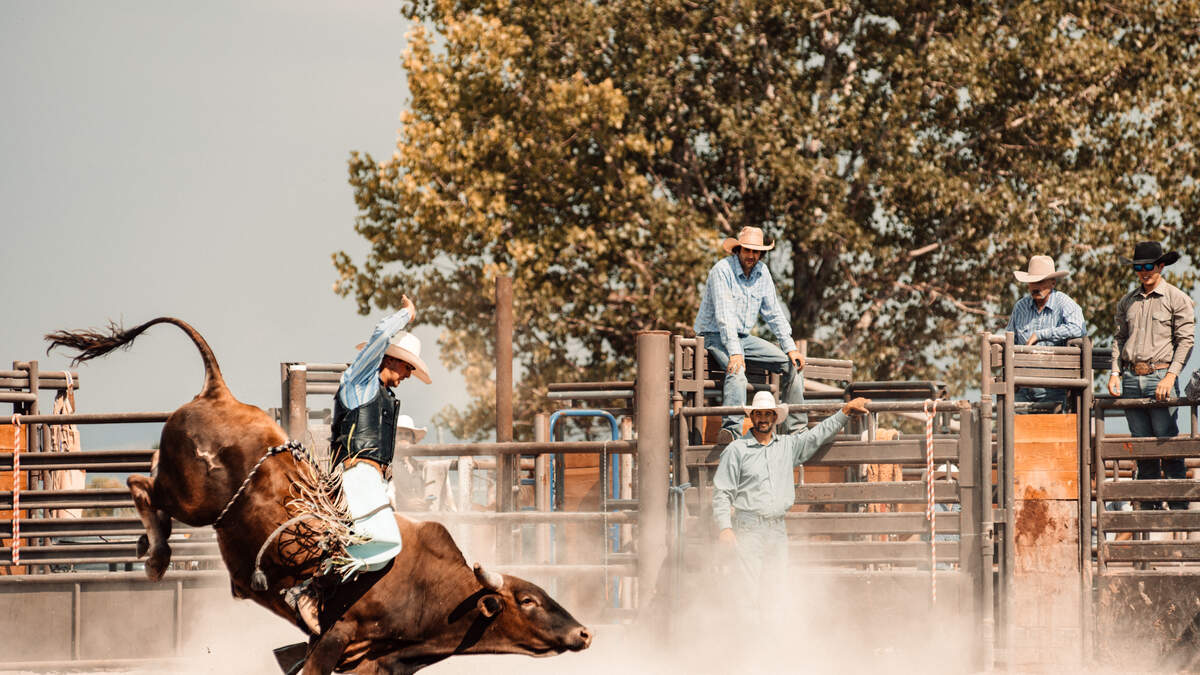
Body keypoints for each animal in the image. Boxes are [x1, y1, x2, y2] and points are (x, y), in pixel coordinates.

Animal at [46, 317, 590, 667]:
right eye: (529, 601)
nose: (584, 632)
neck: (427, 587)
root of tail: (219, 392)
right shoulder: (336, 638)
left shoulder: (372, 661)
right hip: (193, 498)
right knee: (141, 486)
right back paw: (157, 554)